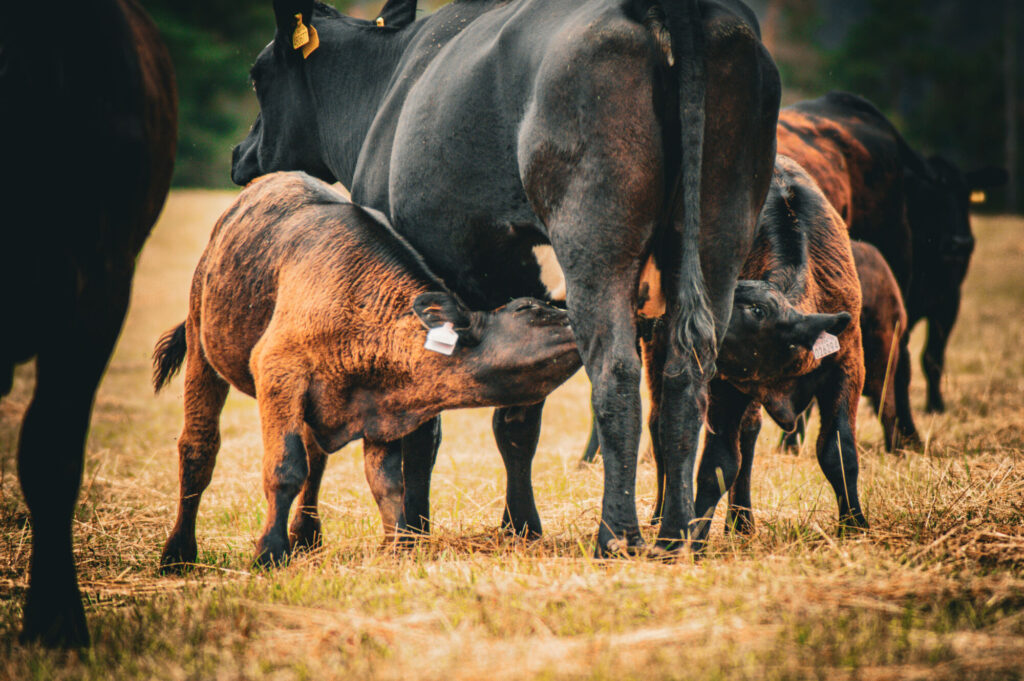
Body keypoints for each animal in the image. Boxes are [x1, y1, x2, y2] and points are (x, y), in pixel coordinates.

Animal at [154, 173, 581, 565]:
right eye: (530, 309)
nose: (574, 316)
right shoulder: (278, 372)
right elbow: (285, 467)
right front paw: (269, 552)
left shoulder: (383, 410)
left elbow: (387, 483)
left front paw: (400, 547)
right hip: (201, 342)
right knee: (198, 447)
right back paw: (178, 552)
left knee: (316, 457)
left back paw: (306, 535)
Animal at [230, 0, 774, 552]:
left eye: (257, 76)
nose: (239, 154)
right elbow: (517, 420)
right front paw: (521, 525)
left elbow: (426, 426)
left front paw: (414, 531)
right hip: (717, 237)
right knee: (687, 376)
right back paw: (676, 538)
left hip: (596, 242)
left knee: (615, 373)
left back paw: (616, 537)